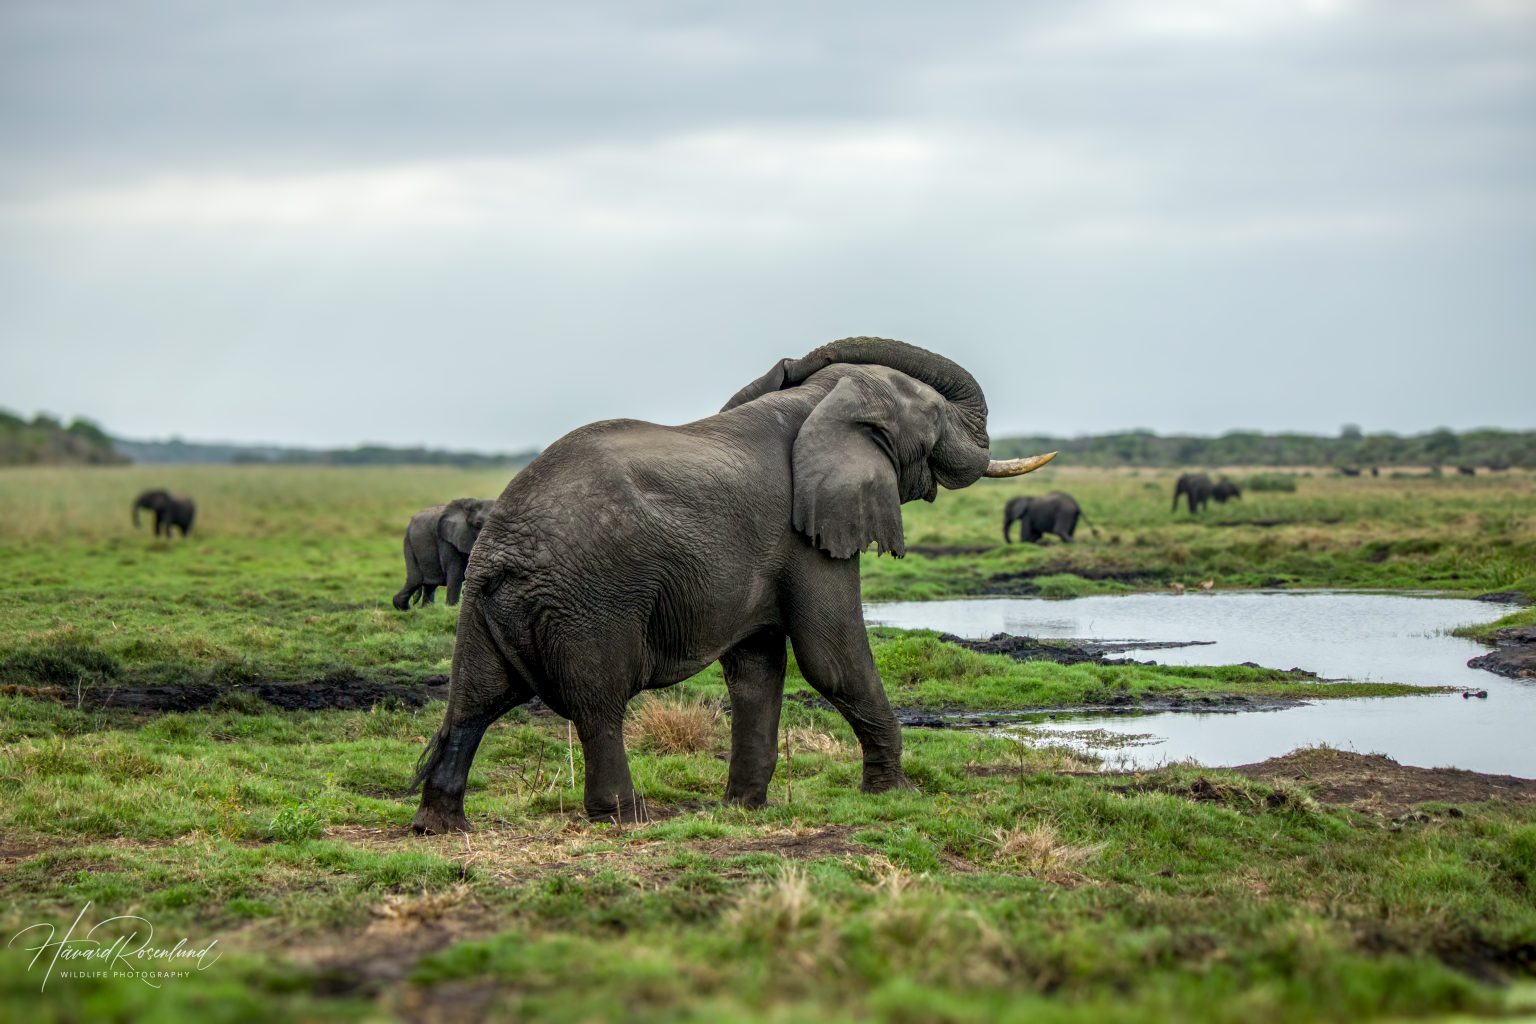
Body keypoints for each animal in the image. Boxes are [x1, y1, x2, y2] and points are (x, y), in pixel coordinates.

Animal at [409, 337, 1056, 832]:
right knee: (598, 703)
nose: (790, 359)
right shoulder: (804, 532)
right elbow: (832, 658)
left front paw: (743, 809)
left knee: (473, 701)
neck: (817, 402)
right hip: (589, 599)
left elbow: (756, 669)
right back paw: (626, 817)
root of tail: (501, 547)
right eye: (939, 417)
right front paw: (896, 796)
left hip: (488, 604)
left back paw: (441, 825)